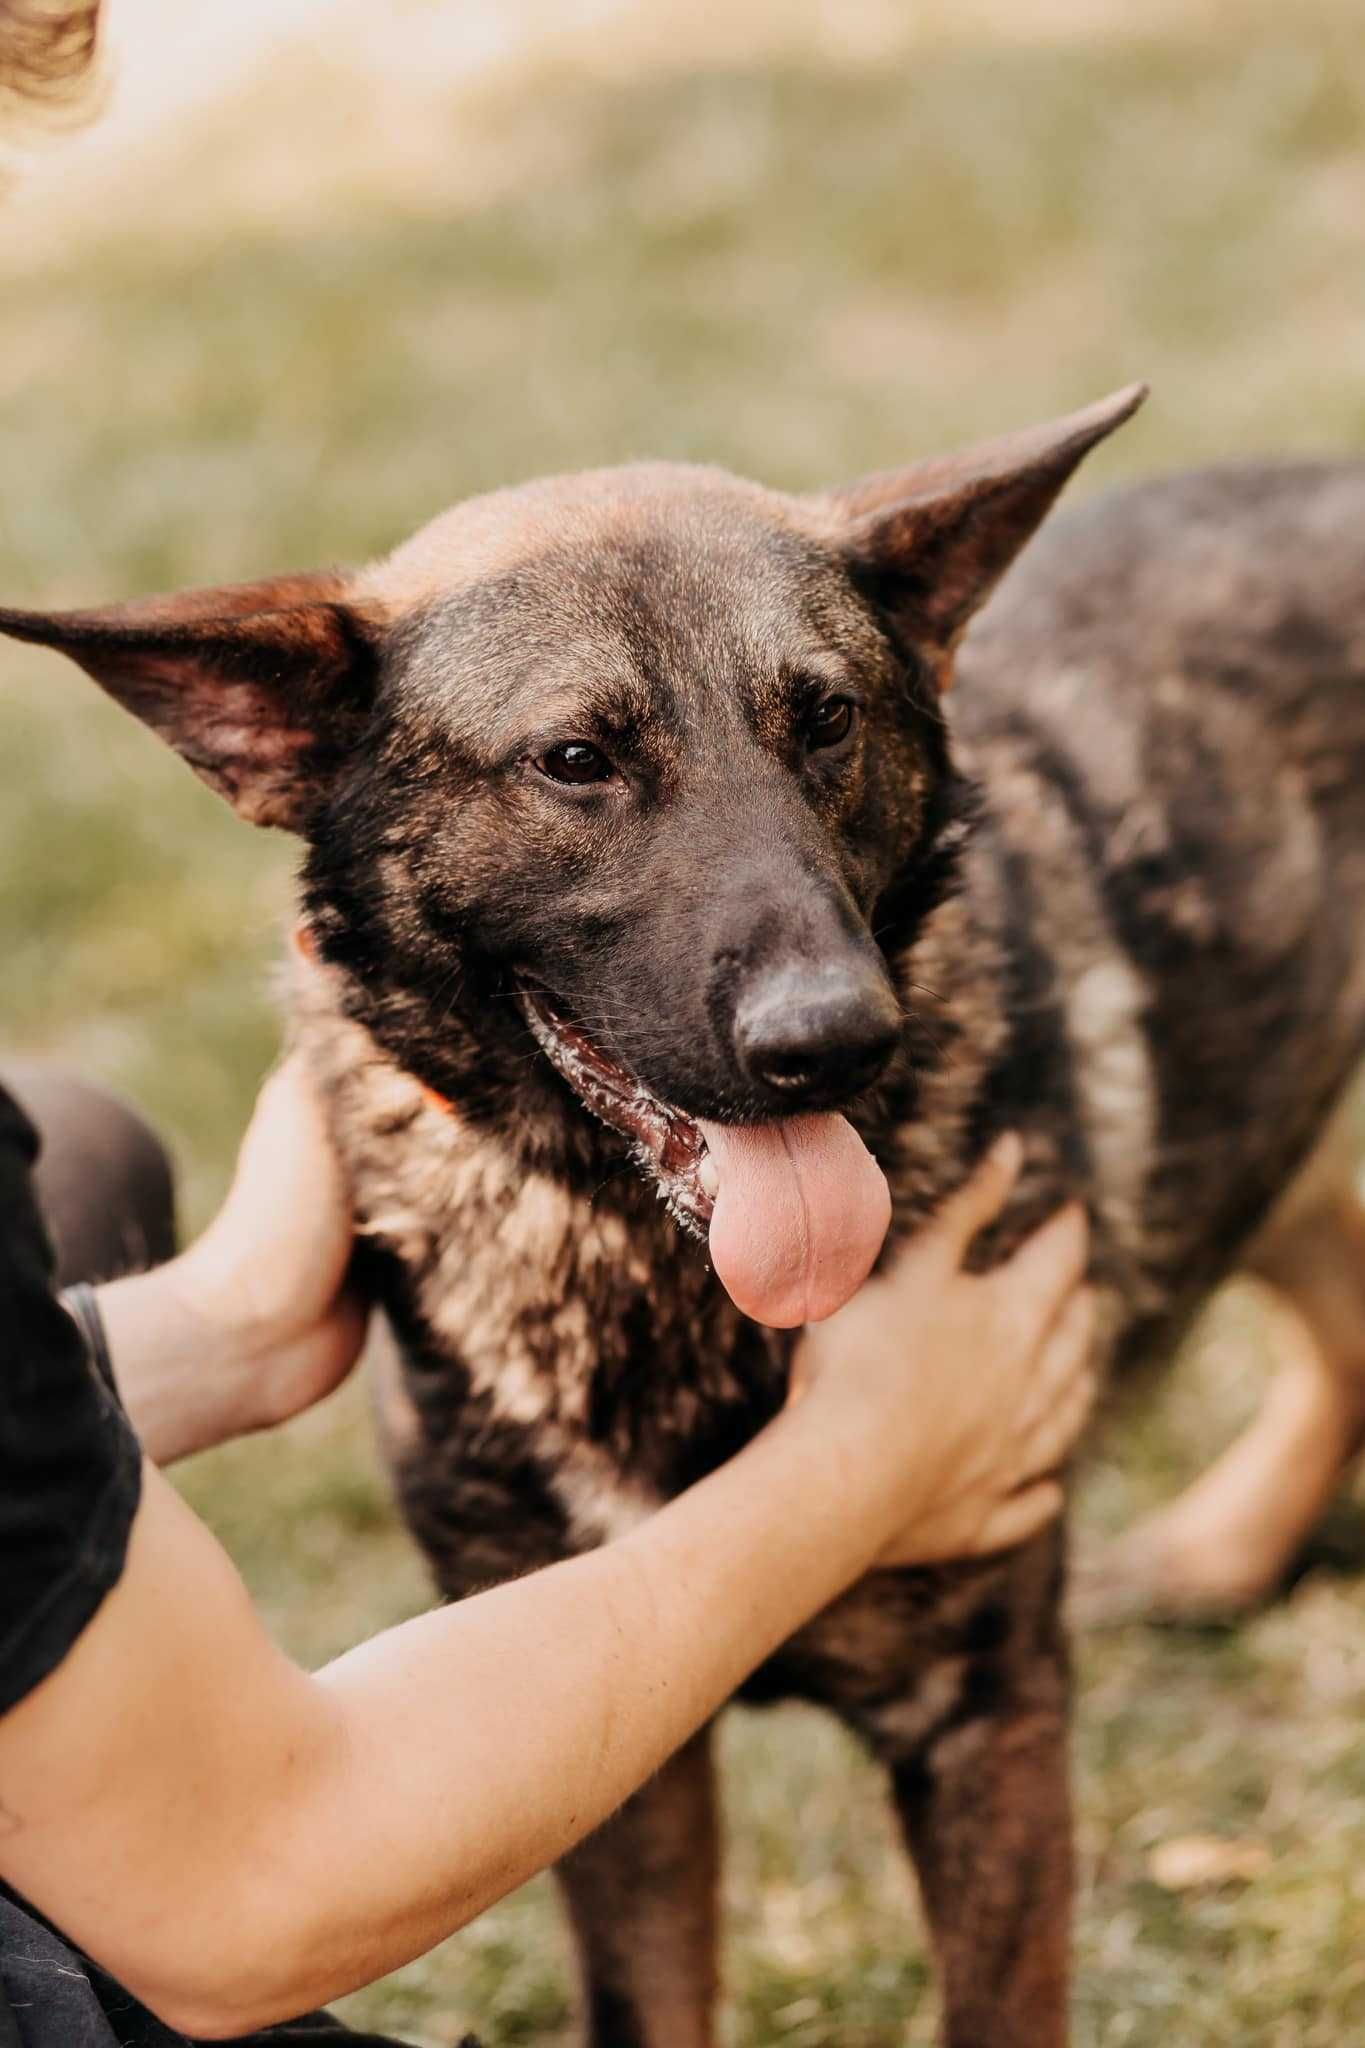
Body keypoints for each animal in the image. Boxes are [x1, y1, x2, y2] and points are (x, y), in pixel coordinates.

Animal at [7, 387, 1365, 2048]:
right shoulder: (610, 1770)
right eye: (575, 757)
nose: (836, 1039)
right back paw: (1222, 1552)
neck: (645, 1260)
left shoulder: (984, 1719)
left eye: (827, 719)